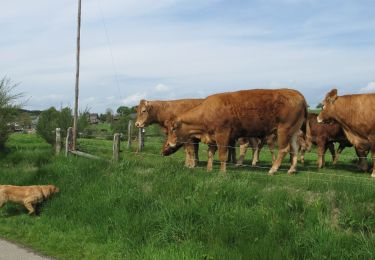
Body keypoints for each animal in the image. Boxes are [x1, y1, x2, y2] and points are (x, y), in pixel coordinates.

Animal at [167, 88, 308, 174]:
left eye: (173, 128)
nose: (169, 143)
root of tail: (296, 93)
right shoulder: (212, 138)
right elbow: (210, 154)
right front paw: (209, 169)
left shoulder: (222, 134)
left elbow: (222, 154)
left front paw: (222, 172)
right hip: (293, 132)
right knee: (295, 149)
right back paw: (291, 170)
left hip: (284, 130)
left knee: (284, 149)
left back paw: (273, 169)